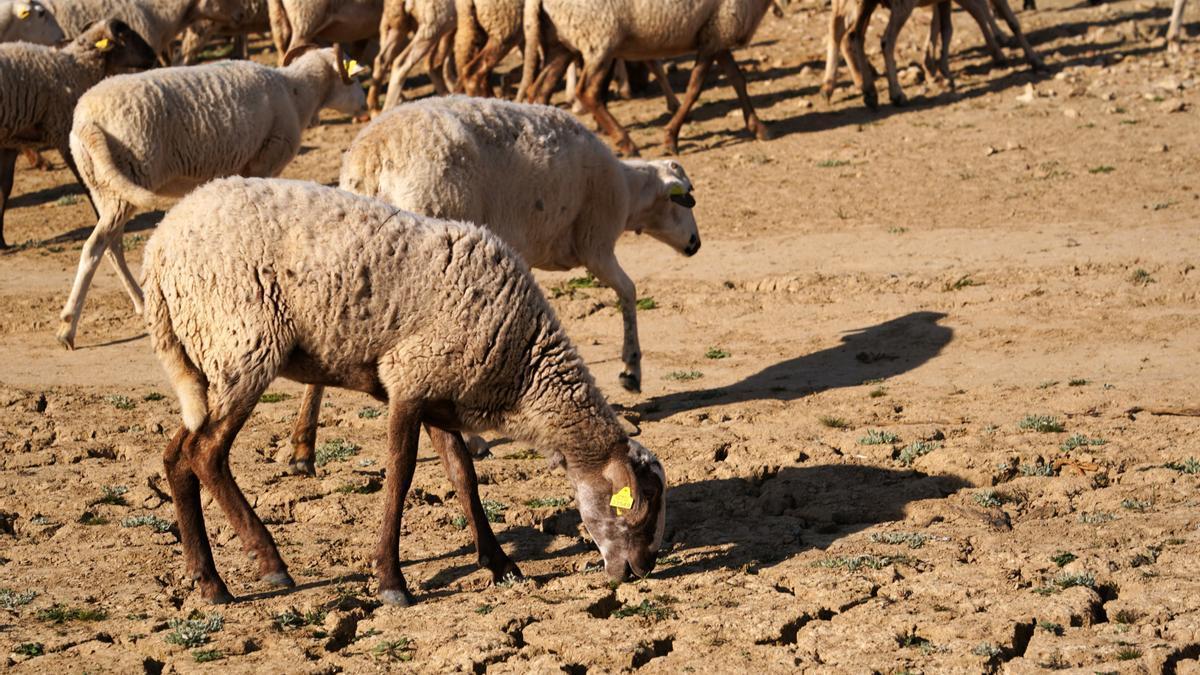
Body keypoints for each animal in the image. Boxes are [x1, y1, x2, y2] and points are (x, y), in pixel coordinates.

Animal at [0, 19, 156, 248]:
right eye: (126, 36)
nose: (153, 56)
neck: (77, 67)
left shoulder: (11, 142)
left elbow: (4, 189)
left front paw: (1, 242)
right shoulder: (63, 129)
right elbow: (86, 182)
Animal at [56, 44, 364, 345]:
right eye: (354, 76)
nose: (363, 107)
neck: (296, 92)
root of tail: (85, 121)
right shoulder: (263, 163)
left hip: (105, 187)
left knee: (112, 246)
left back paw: (141, 303)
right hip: (126, 178)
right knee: (95, 246)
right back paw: (68, 327)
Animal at [142, 171, 667, 598]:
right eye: (639, 512)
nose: (641, 570)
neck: (523, 365)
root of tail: (158, 251)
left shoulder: (441, 395)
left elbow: (463, 476)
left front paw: (500, 564)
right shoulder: (408, 383)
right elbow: (400, 476)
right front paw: (391, 581)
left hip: (212, 361)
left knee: (176, 455)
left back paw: (208, 581)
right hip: (244, 343)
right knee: (206, 454)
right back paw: (269, 562)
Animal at [520, 0, 772, 154]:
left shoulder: (718, 36)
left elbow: (738, 80)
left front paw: (758, 127)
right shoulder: (716, 34)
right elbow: (694, 89)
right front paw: (671, 138)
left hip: (560, 45)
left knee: (539, 90)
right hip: (599, 39)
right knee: (588, 93)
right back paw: (626, 143)